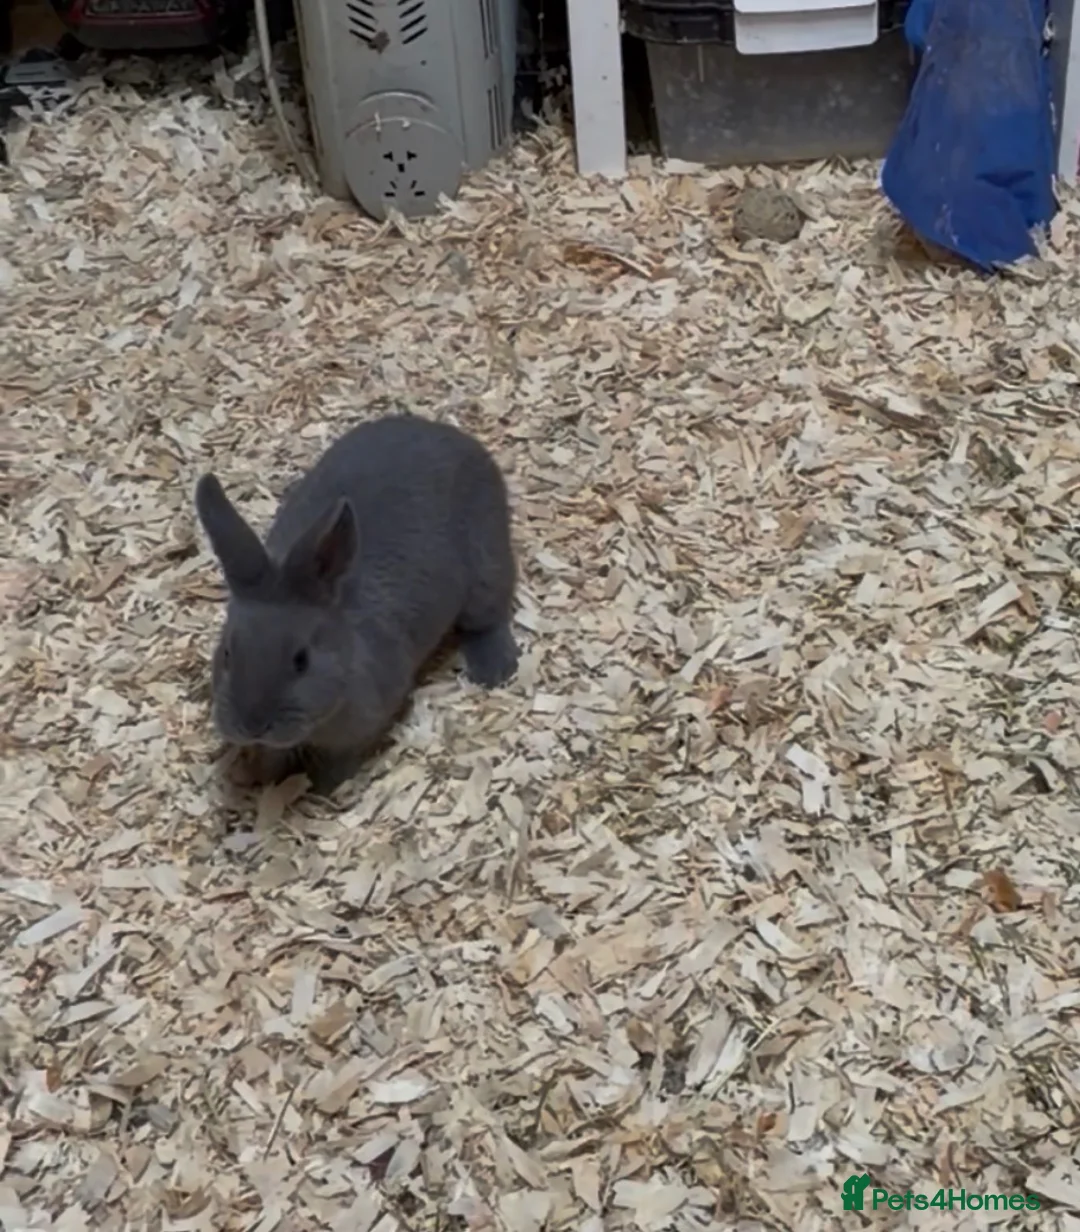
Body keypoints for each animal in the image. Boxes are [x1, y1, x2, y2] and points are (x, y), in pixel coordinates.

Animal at [194, 413, 519, 796]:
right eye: (228, 653)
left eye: (301, 661)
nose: (253, 725)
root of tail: (454, 437)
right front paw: (265, 776)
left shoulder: (364, 726)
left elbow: (341, 760)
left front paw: (321, 786)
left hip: (487, 568)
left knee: (488, 618)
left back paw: (494, 669)